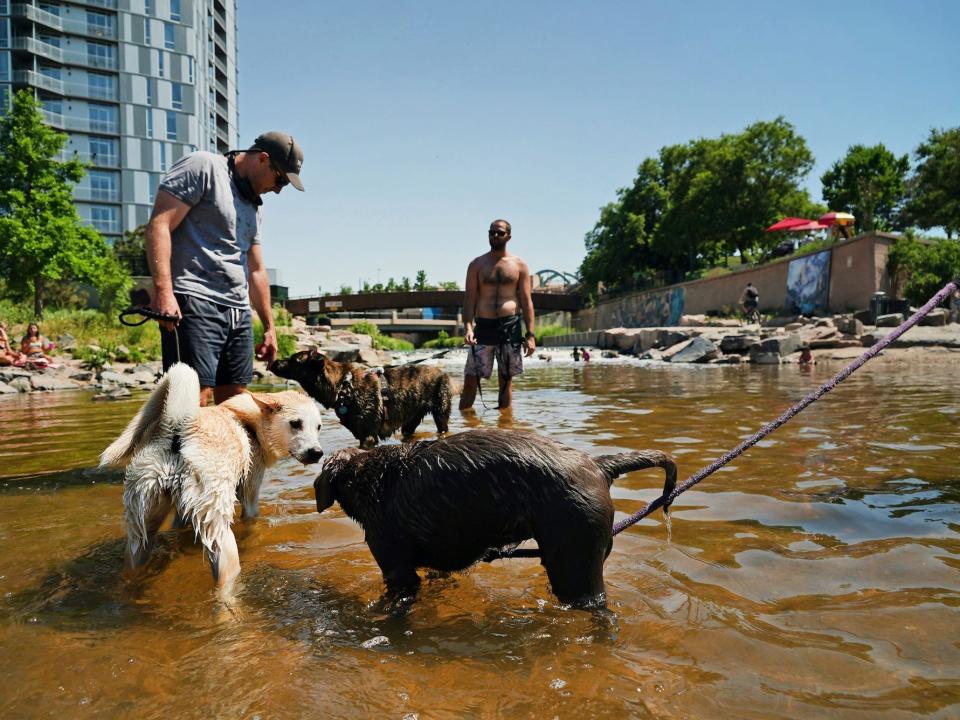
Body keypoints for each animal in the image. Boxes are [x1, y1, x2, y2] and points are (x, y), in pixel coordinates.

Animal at [101, 362, 324, 592]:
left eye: (318, 427)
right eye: (295, 423)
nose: (317, 453)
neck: (249, 426)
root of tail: (179, 427)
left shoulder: (181, 512)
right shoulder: (251, 491)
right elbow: (251, 519)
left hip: (142, 524)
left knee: (133, 560)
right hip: (220, 534)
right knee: (224, 579)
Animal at [270, 350, 458, 448]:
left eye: (294, 360)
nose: (273, 362)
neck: (343, 386)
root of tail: (442, 372)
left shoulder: (368, 436)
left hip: (441, 412)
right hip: (410, 420)